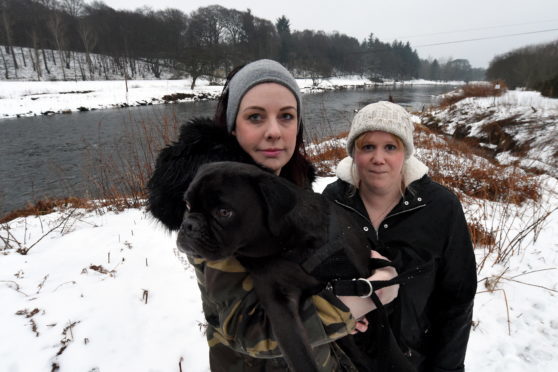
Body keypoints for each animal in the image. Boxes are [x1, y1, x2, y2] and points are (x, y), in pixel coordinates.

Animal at [177, 161, 418, 372]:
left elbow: (389, 345)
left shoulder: (363, 283)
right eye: (187, 205)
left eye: (223, 212)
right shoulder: (280, 306)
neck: (287, 249)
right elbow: (299, 355)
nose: (189, 224)